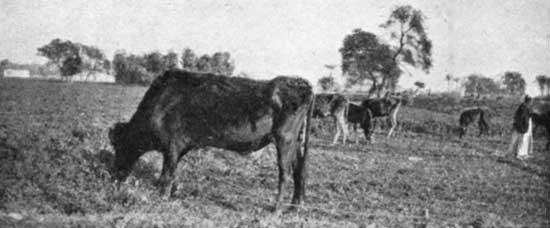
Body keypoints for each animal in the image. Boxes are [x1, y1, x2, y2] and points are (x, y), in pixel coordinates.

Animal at [109, 70, 314, 210]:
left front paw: (162, 197)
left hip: (284, 139)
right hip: (296, 142)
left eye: (119, 146)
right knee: (299, 170)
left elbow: (166, 175)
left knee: (285, 172)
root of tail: (301, 83)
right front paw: (173, 193)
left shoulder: (172, 145)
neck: (161, 102)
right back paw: (295, 206)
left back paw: (276, 209)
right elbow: (173, 173)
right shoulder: (181, 147)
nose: (114, 176)